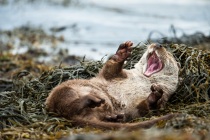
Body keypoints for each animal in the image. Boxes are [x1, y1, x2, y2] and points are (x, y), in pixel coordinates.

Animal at [44, 41, 179, 130]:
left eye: (169, 55)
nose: (158, 44)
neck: (143, 80)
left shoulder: (159, 100)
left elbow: (145, 109)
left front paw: (155, 95)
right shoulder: (118, 75)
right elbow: (110, 68)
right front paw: (122, 52)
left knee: (70, 107)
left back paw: (111, 115)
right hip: (65, 90)